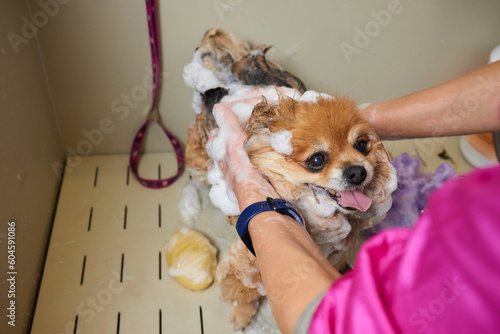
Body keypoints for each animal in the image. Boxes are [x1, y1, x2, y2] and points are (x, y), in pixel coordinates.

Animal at [182, 28, 396, 328]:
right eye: (317, 160)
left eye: (362, 145)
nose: (358, 172)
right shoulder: (249, 261)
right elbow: (243, 291)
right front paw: (242, 315)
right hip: (200, 160)